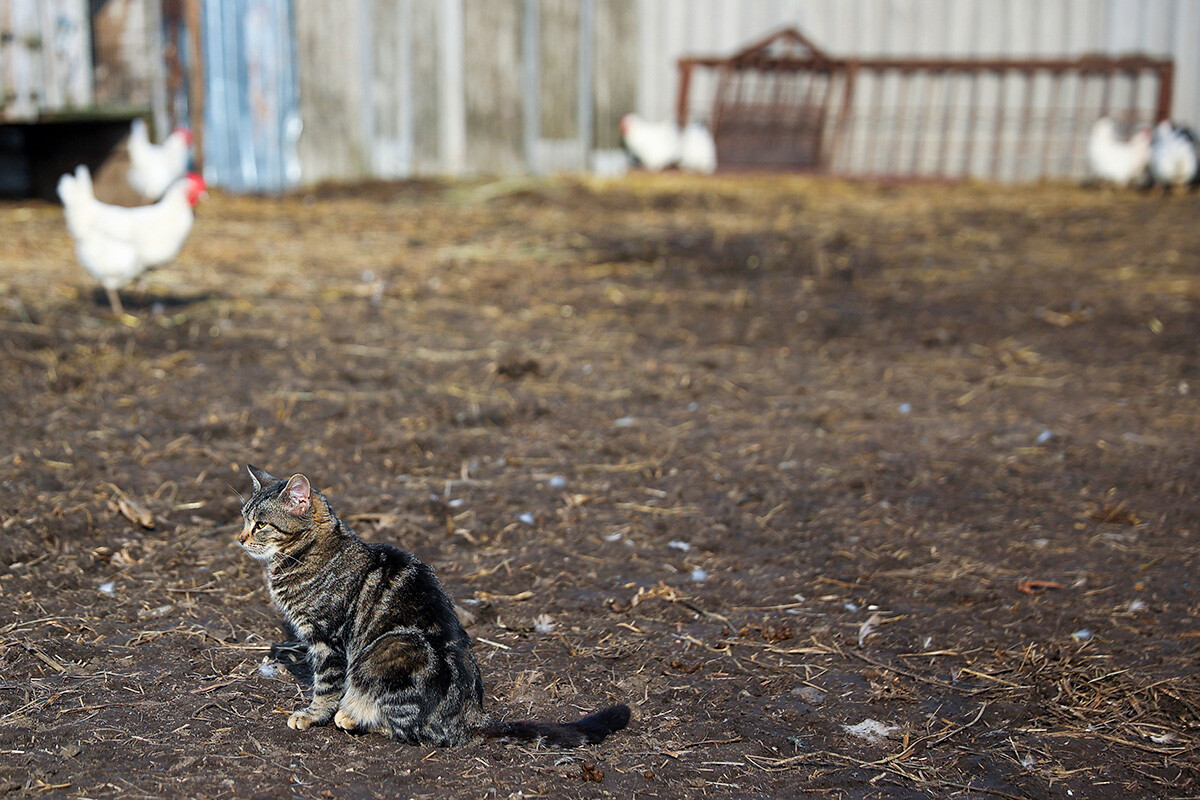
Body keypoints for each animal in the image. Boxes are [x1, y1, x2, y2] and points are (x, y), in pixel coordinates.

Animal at [231, 465, 628, 748]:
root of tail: (470, 715)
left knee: (410, 730)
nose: (239, 538)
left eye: (261, 524)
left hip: (391, 648)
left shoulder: (329, 642)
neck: (306, 553)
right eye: (244, 518)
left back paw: (353, 716)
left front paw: (312, 715)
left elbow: (326, 687)